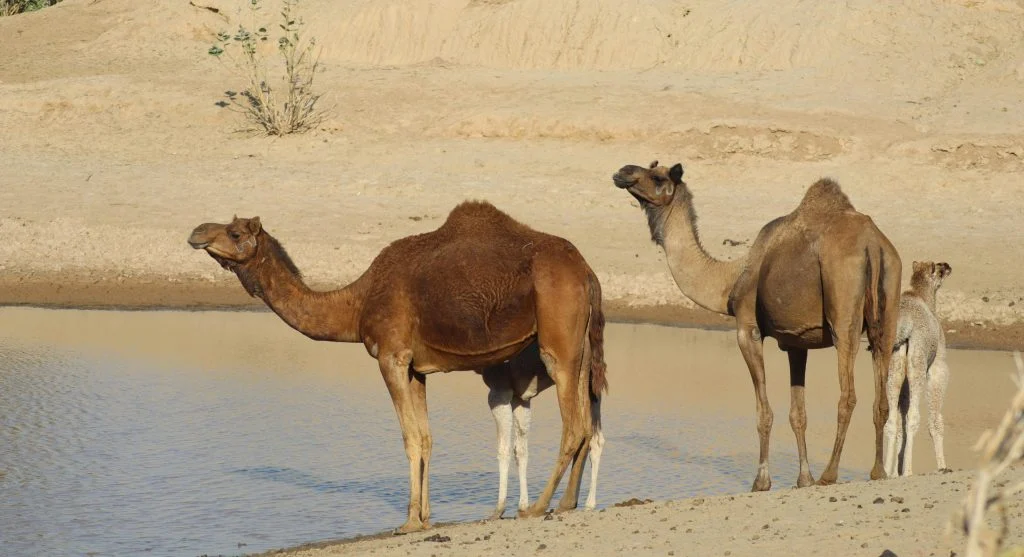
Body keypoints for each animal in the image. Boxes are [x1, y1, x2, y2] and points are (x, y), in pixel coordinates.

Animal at [482, 343, 605, 518]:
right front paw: (523, 506)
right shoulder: (521, 398)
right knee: (596, 439)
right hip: (592, 388)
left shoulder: (500, 390)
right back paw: (589, 504)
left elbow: (504, 450)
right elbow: (521, 451)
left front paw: (498, 511)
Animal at [613, 160, 901, 490]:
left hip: (843, 308)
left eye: (657, 176)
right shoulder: (796, 341)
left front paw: (761, 481)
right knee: (881, 395)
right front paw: (803, 479)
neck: (731, 279)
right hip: (889, 304)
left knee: (848, 395)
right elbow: (798, 414)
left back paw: (829, 475)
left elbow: (764, 411)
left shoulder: (747, 328)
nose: (623, 171)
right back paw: (877, 472)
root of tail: (872, 246)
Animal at [884, 261, 952, 477]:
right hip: (918, 363)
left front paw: (893, 471)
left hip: (895, 364)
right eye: (940, 269)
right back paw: (908, 471)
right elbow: (935, 421)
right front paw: (942, 466)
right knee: (914, 417)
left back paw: (887, 472)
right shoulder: (938, 367)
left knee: (892, 420)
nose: (948, 267)